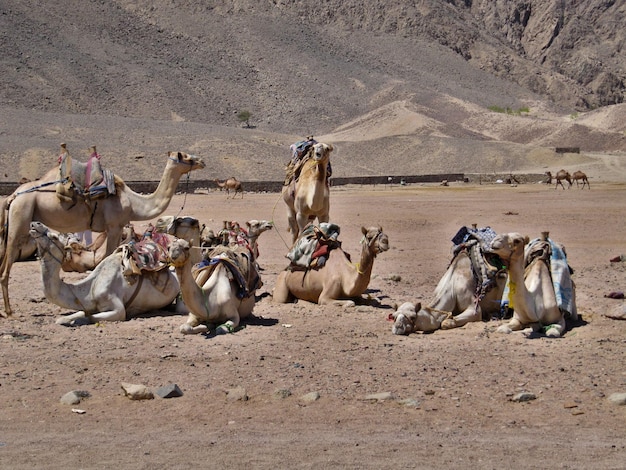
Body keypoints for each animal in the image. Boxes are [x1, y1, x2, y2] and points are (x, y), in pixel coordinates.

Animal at [29, 221, 180, 324]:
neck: (91, 288)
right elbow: (67, 318)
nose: (34, 223)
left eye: (54, 237)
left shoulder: (118, 310)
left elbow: (90, 317)